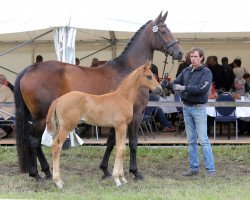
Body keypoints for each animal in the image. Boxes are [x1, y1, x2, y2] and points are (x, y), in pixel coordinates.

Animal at [46, 60, 161, 188]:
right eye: (149, 76)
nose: (160, 89)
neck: (123, 97)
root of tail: (59, 99)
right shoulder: (120, 126)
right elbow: (119, 149)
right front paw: (117, 179)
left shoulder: (123, 127)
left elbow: (122, 150)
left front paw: (122, 178)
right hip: (67, 127)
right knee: (57, 146)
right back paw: (58, 182)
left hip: (60, 127)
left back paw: (59, 180)